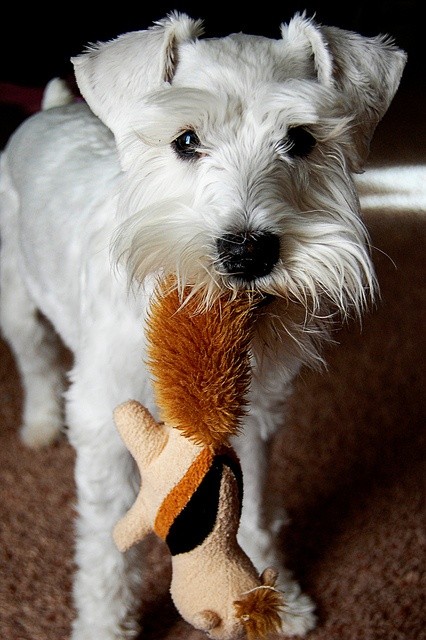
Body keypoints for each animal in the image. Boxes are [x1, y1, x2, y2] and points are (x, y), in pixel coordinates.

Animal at [0, 11, 406, 640]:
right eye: (185, 140)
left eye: (301, 140)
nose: (248, 252)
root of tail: (49, 109)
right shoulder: (106, 426)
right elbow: (107, 552)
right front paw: (103, 624)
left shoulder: (252, 422)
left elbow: (256, 511)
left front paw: (275, 600)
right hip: (17, 300)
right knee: (37, 361)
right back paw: (41, 425)